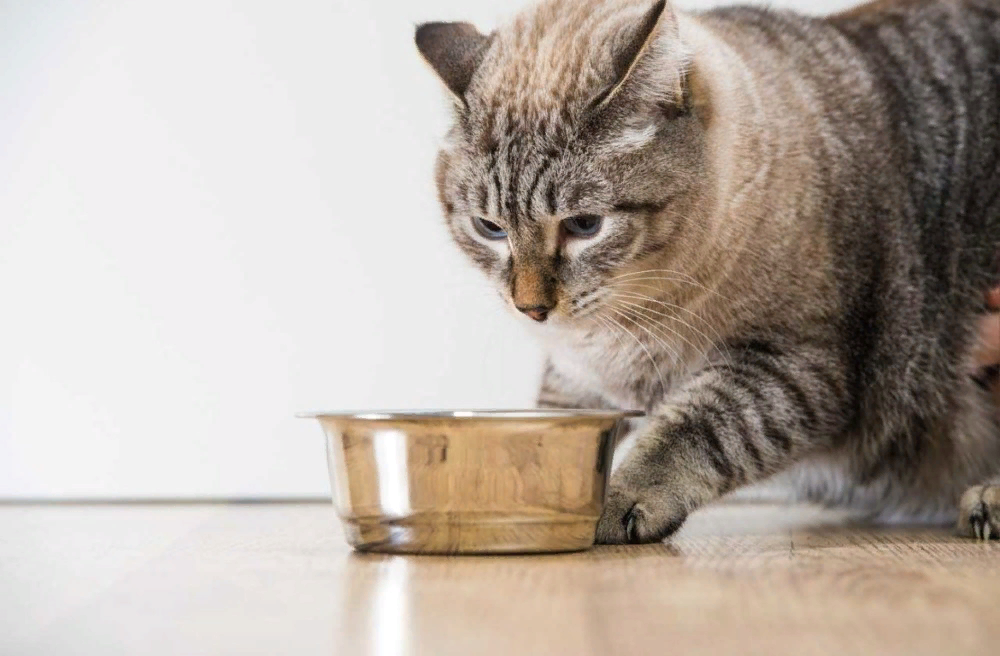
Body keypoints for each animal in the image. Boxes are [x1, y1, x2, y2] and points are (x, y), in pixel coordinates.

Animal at [414, 0, 1000, 544]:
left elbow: (693, 431)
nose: (531, 308)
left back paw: (986, 502)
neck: (628, 320)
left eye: (584, 225)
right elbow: (545, 427)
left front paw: (614, 500)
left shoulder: (794, 366)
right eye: (489, 228)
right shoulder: (579, 375)